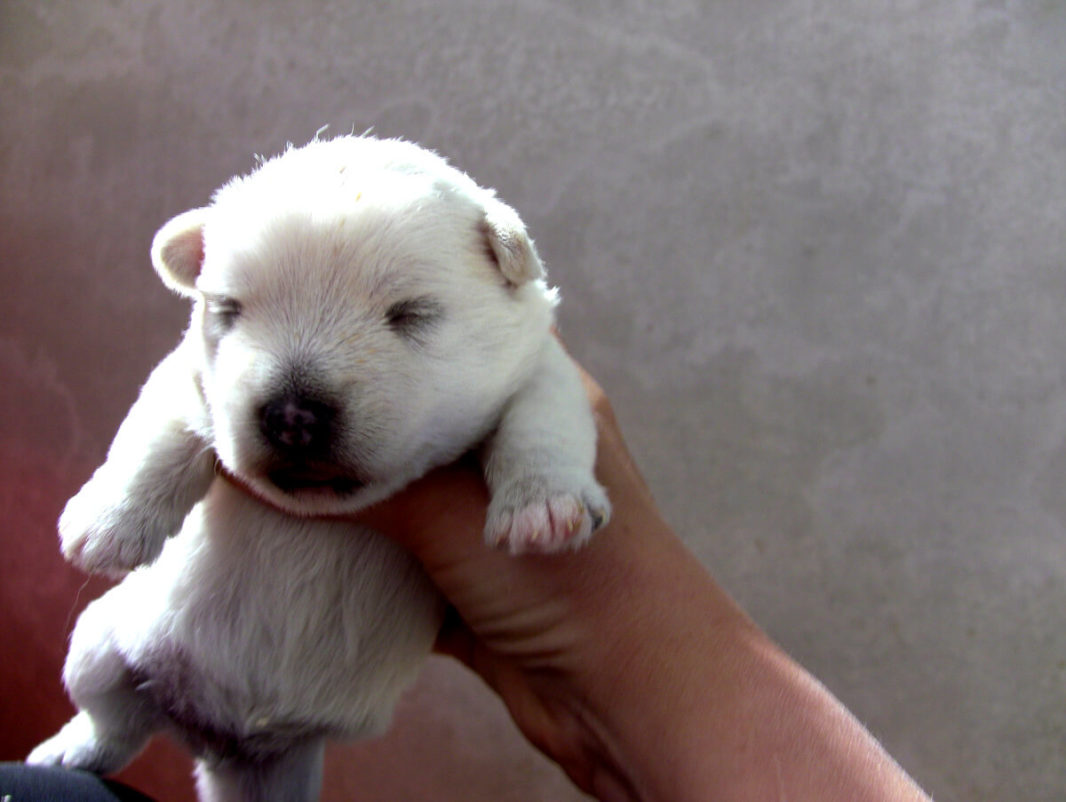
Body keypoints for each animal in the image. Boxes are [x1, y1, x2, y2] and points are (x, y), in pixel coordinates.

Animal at [27, 137, 609, 802]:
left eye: (410, 313)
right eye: (228, 309)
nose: (291, 415)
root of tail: (216, 739)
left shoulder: (545, 364)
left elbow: (542, 419)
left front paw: (545, 508)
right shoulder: (191, 377)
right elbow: (154, 430)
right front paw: (106, 523)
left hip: (285, 767)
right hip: (100, 638)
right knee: (111, 716)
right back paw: (69, 751)